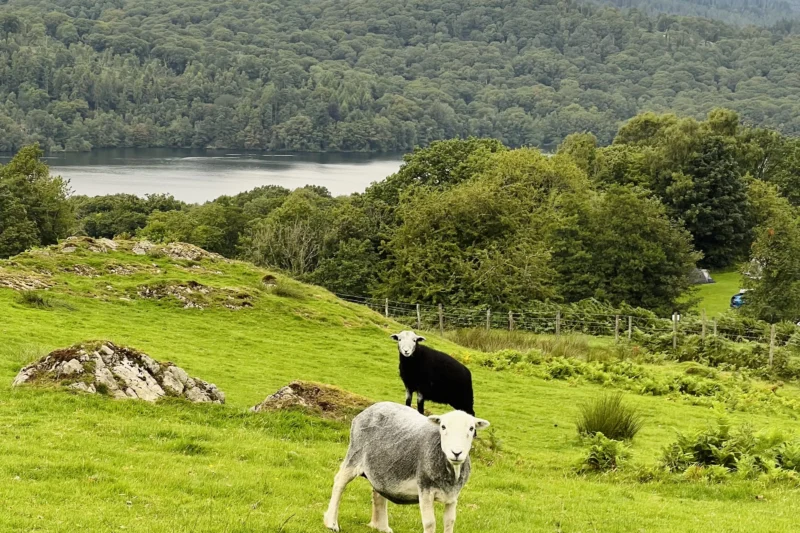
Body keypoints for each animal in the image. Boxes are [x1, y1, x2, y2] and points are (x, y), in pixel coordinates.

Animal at [323, 402, 490, 533]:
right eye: (443, 427)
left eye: (471, 428)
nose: (456, 453)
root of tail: (371, 408)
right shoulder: (425, 489)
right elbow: (430, 523)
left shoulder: (453, 495)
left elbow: (450, 522)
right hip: (355, 454)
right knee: (339, 482)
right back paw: (331, 523)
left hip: (381, 465)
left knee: (378, 490)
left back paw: (381, 526)